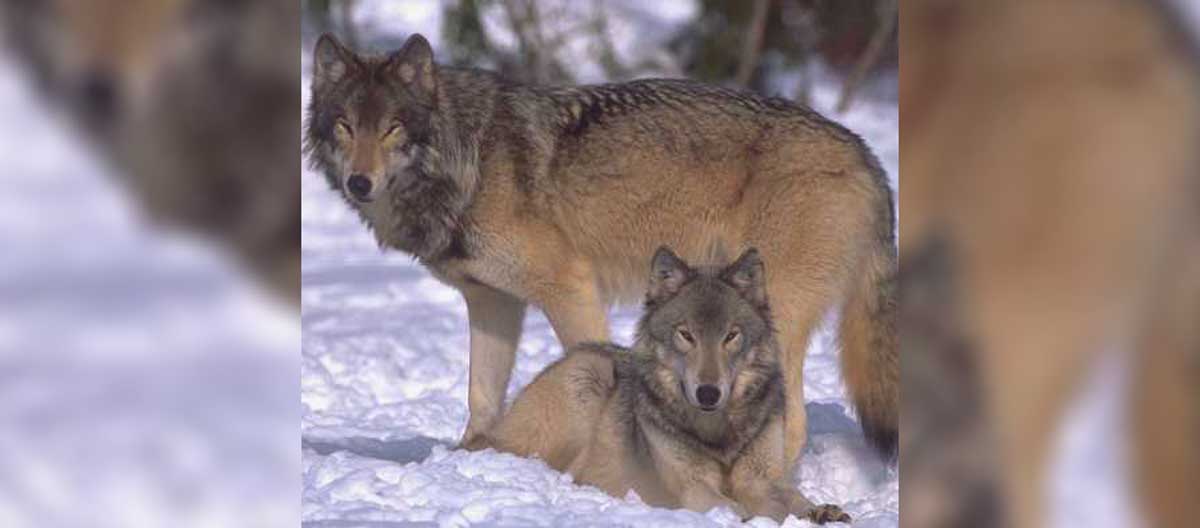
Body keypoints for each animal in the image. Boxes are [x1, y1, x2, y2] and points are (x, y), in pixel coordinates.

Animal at [303, 32, 898, 468]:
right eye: (346, 126)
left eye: (393, 129)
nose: (359, 183)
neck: (470, 159)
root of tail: (866, 154)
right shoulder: (493, 302)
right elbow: (481, 397)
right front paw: (474, 459)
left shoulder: (569, 286)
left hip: (770, 316)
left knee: (791, 424)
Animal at [486, 247, 851, 524]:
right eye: (686, 335)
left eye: (730, 335)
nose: (708, 393)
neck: (717, 433)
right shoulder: (693, 487)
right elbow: (733, 507)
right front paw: (749, 518)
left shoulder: (762, 479)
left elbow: (792, 498)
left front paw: (820, 511)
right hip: (589, 371)